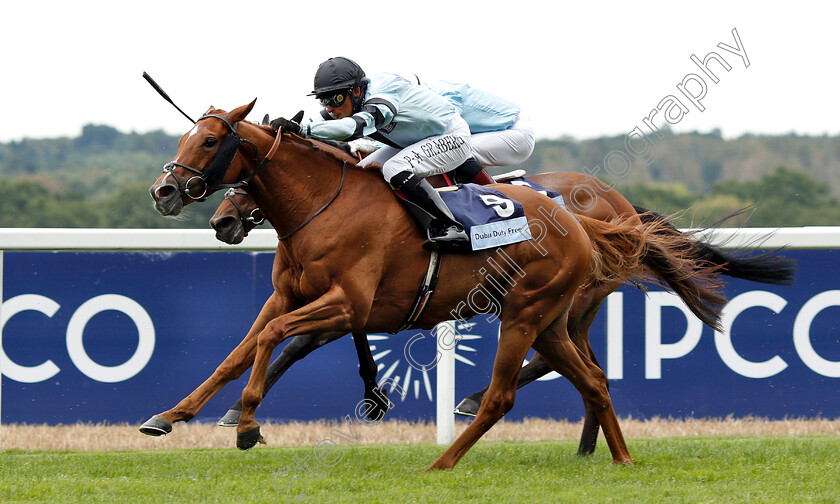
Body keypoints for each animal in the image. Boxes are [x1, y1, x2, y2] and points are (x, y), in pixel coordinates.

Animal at [143, 100, 720, 470]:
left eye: (210, 140)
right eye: (184, 138)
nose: (165, 191)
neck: (323, 204)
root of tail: (584, 219)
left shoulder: (347, 305)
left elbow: (272, 339)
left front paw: (247, 423)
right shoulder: (289, 297)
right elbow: (238, 353)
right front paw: (171, 415)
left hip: (526, 313)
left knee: (506, 395)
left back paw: (445, 458)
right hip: (552, 319)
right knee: (594, 379)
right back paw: (619, 457)